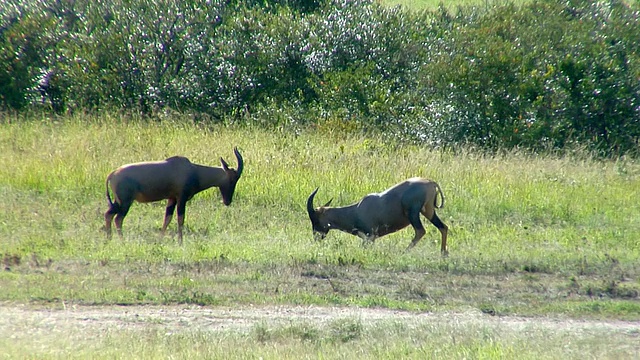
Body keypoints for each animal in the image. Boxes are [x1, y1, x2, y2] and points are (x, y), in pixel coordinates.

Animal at [104, 147, 244, 245]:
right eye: (232, 179)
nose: (227, 201)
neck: (192, 169)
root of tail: (112, 174)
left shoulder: (172, 199)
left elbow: (167, 218)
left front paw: (160, 240)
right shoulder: (181, 198)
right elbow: (180, 218)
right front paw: (180, 242)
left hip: (118, 202)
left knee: (108, 214)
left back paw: (109, 240)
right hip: (125, 202)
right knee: (118, 219)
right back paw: (122, 242)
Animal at [306, 179, 450, 255]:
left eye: (315, 219)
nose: (316, 238)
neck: (357, 209)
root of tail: (431, 182)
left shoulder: (370, 237)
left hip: (413, 214)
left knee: (420, 231)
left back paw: (404, 252)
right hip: (429, 211)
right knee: (443, 227)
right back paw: (443, 253)